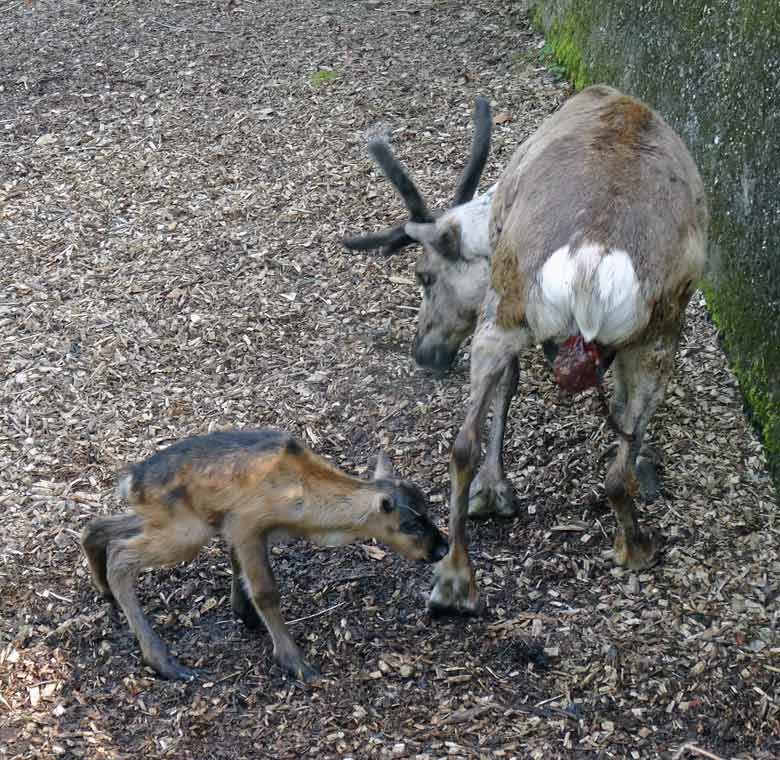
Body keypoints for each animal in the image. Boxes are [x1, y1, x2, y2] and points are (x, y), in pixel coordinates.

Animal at [80, 428, 448, 684]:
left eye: (428, 510)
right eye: (410, 524)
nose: (442, 548)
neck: (307, 509)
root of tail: (129, 482)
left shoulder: (234, 527)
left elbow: (239, 570)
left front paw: (245, 615)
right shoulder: (246, 523)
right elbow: (266, 591)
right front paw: (296, 663)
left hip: (170, 520)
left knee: (98, 526)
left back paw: (103, 588)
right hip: (185, 532)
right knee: (121, 556)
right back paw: (166, 663)